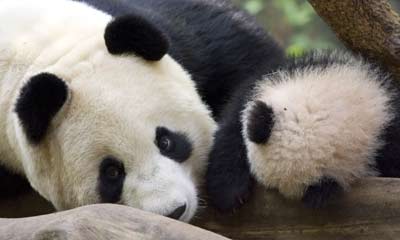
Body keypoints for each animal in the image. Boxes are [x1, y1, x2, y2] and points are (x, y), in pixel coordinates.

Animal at [0, 0, 284, 221]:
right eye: (112, 172)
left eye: (167, 141)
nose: (174, 211)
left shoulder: (189, 33)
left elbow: (259, 68)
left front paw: (228, 182)